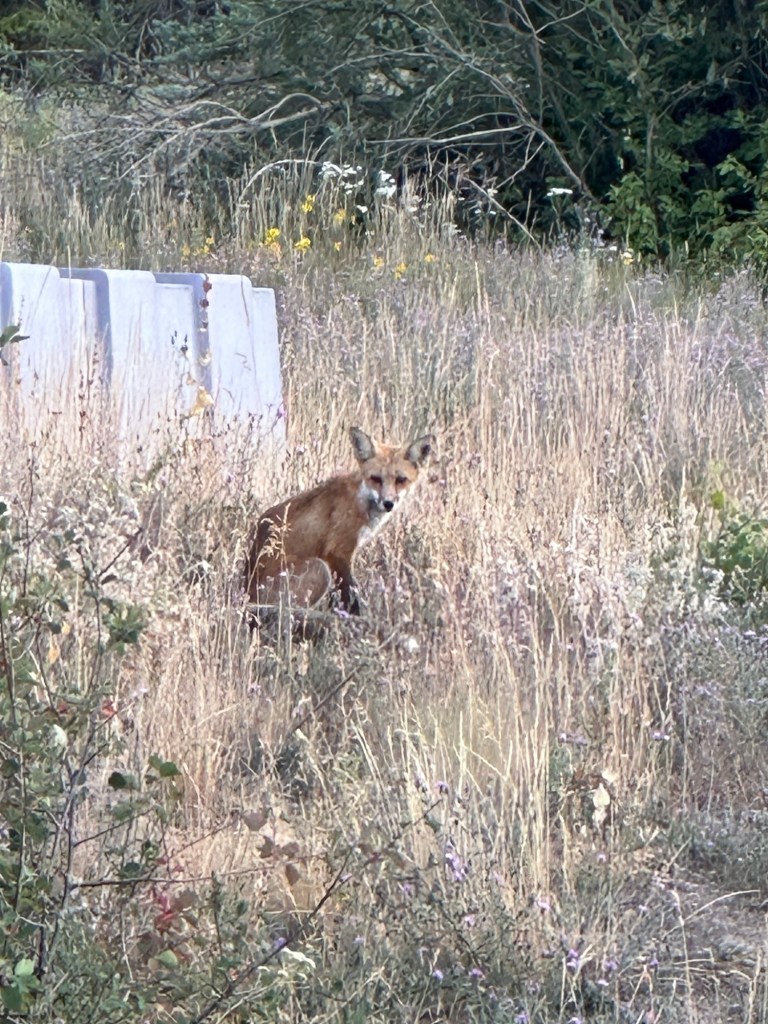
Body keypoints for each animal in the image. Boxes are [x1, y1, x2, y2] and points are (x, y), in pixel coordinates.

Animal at [245, 427, 433, 616]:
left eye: (401, 480)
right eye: (376, 479)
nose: (388, 503)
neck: (360, 500)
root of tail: (246, 590)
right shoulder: (337, 551)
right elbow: (350, 593)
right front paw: (353, 615)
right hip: (319, 569)